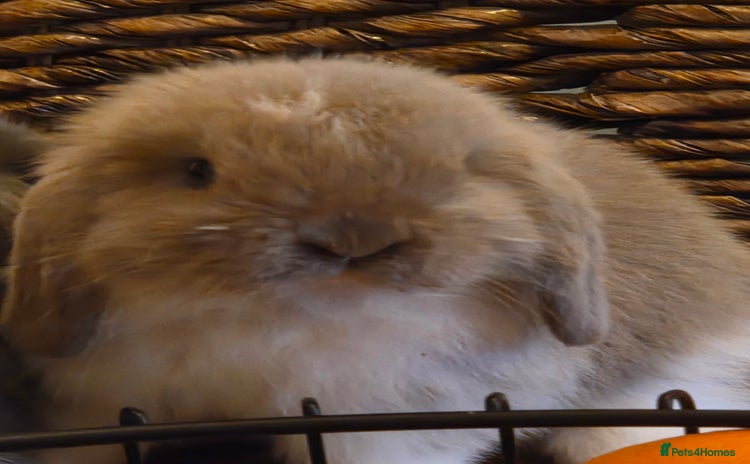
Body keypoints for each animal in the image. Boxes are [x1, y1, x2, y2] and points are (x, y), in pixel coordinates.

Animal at [1, 56, 750, 464]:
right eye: (196, 170)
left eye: (456, 175)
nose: (353, 239)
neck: (277, 330)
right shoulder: (99, 404)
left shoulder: (387, 428)